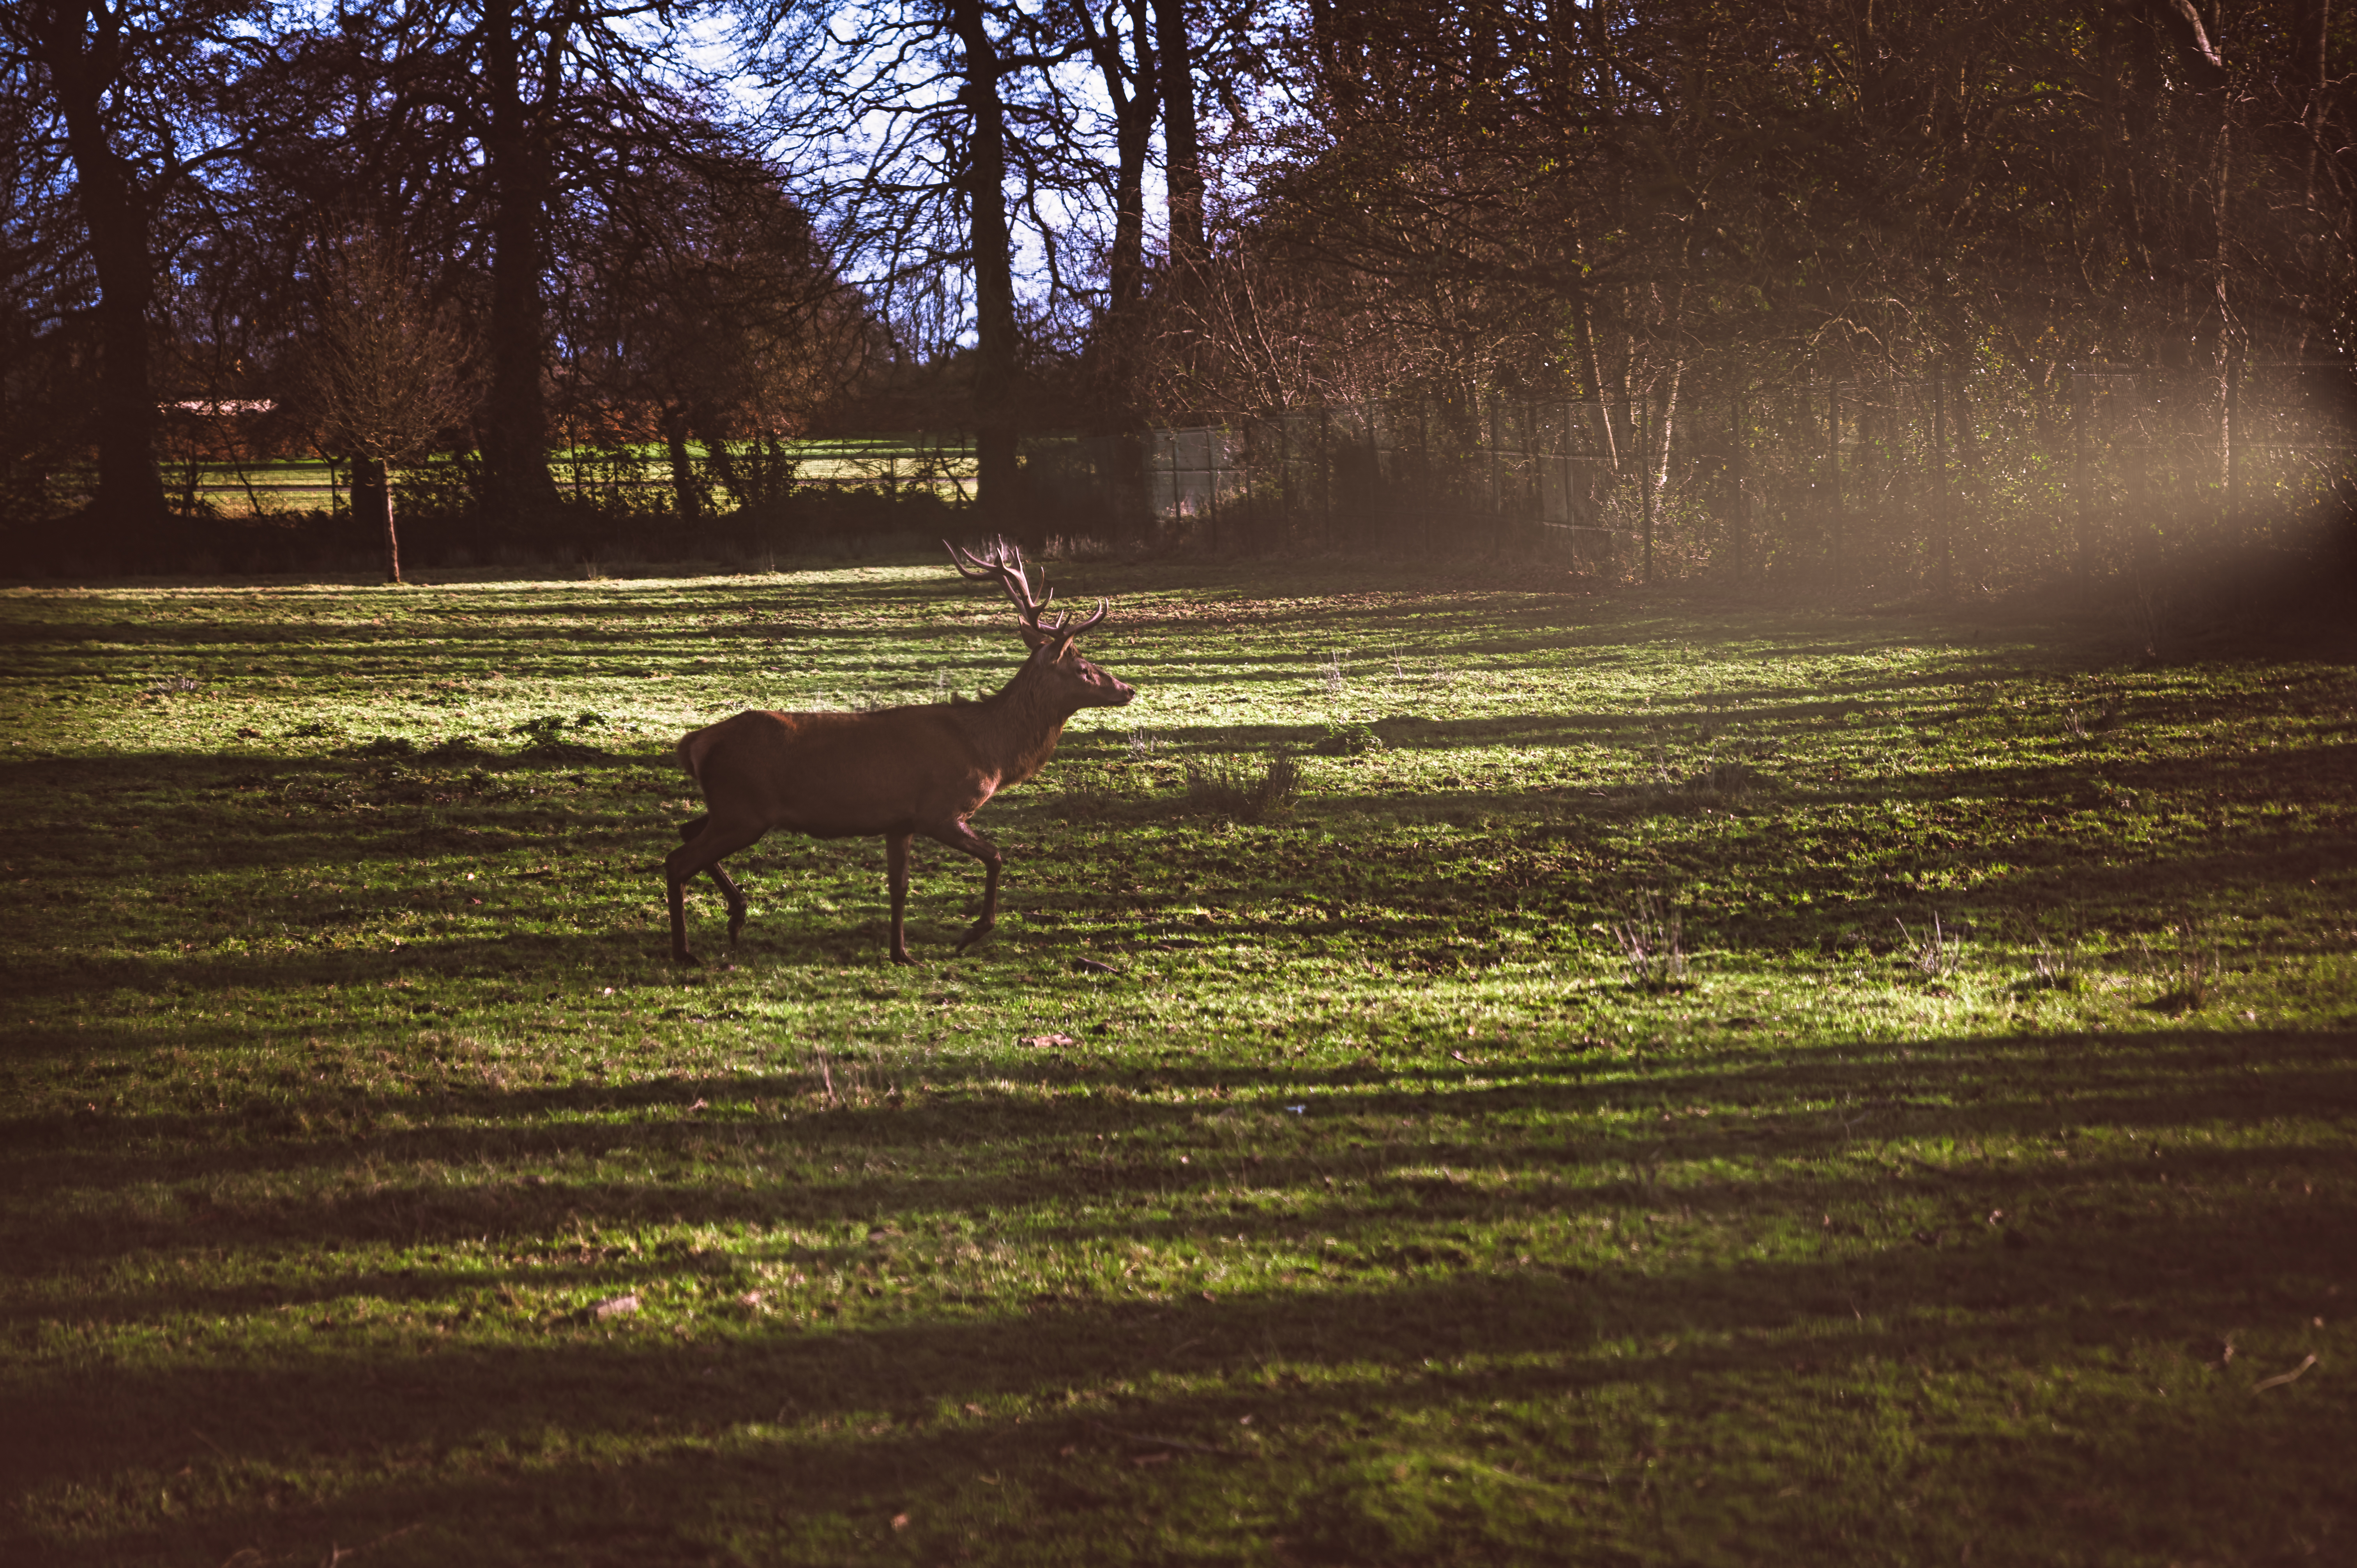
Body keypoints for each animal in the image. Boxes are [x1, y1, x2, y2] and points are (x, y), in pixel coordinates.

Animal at [664, 544, 1141, 971]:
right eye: (1083, 670)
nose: (1129, 689)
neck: (990, 751)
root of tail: (694, 742)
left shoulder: (900, 822)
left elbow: (899, 887)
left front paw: (901, 953)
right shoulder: (940, 810)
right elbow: (995, 856)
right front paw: (970, 933)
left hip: (733, 810)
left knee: (686, 831)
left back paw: (737, 912)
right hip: (744, 811)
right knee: (677, 860)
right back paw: (686, 950)